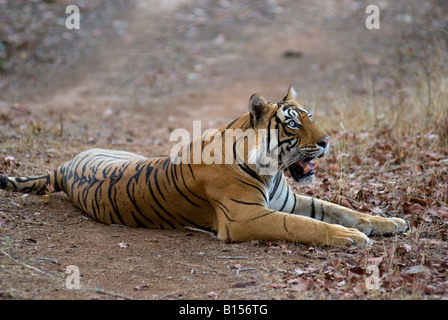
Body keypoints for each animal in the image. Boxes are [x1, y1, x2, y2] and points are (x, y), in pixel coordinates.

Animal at [0, 87, 410, 248]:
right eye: (293, 124)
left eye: (311, 117)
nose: (327, 141)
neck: (271, 169)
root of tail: (66, 167)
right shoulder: (247, 217)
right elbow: (305, 226)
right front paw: (351, 238)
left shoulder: (290, 201)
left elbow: (342, 210)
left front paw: (391, 222)